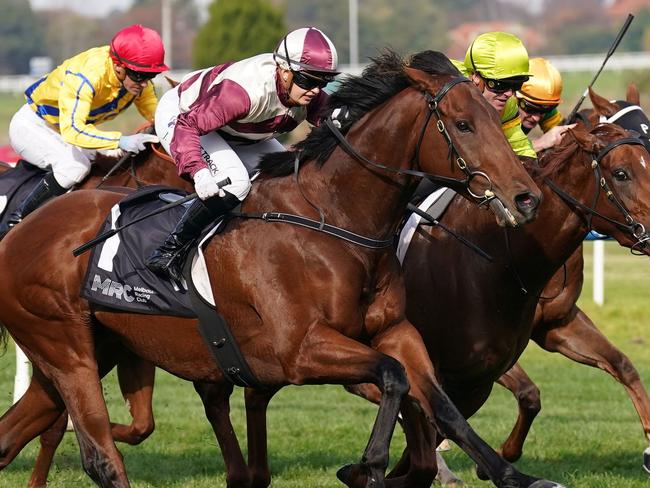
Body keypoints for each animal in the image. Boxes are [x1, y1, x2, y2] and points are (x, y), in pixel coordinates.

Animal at [0, 52, 552, 488]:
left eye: (498, 118)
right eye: (463, 125)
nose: (527, 198)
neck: (336, 221)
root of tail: (18, 233)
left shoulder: (396, 331)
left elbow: (441, 403)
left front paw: (513, 475)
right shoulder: (299, 351)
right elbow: (393, 378)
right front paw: (369, 466)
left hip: (91, 350)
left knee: (15, 434)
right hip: (65, 346)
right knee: (100, 457)